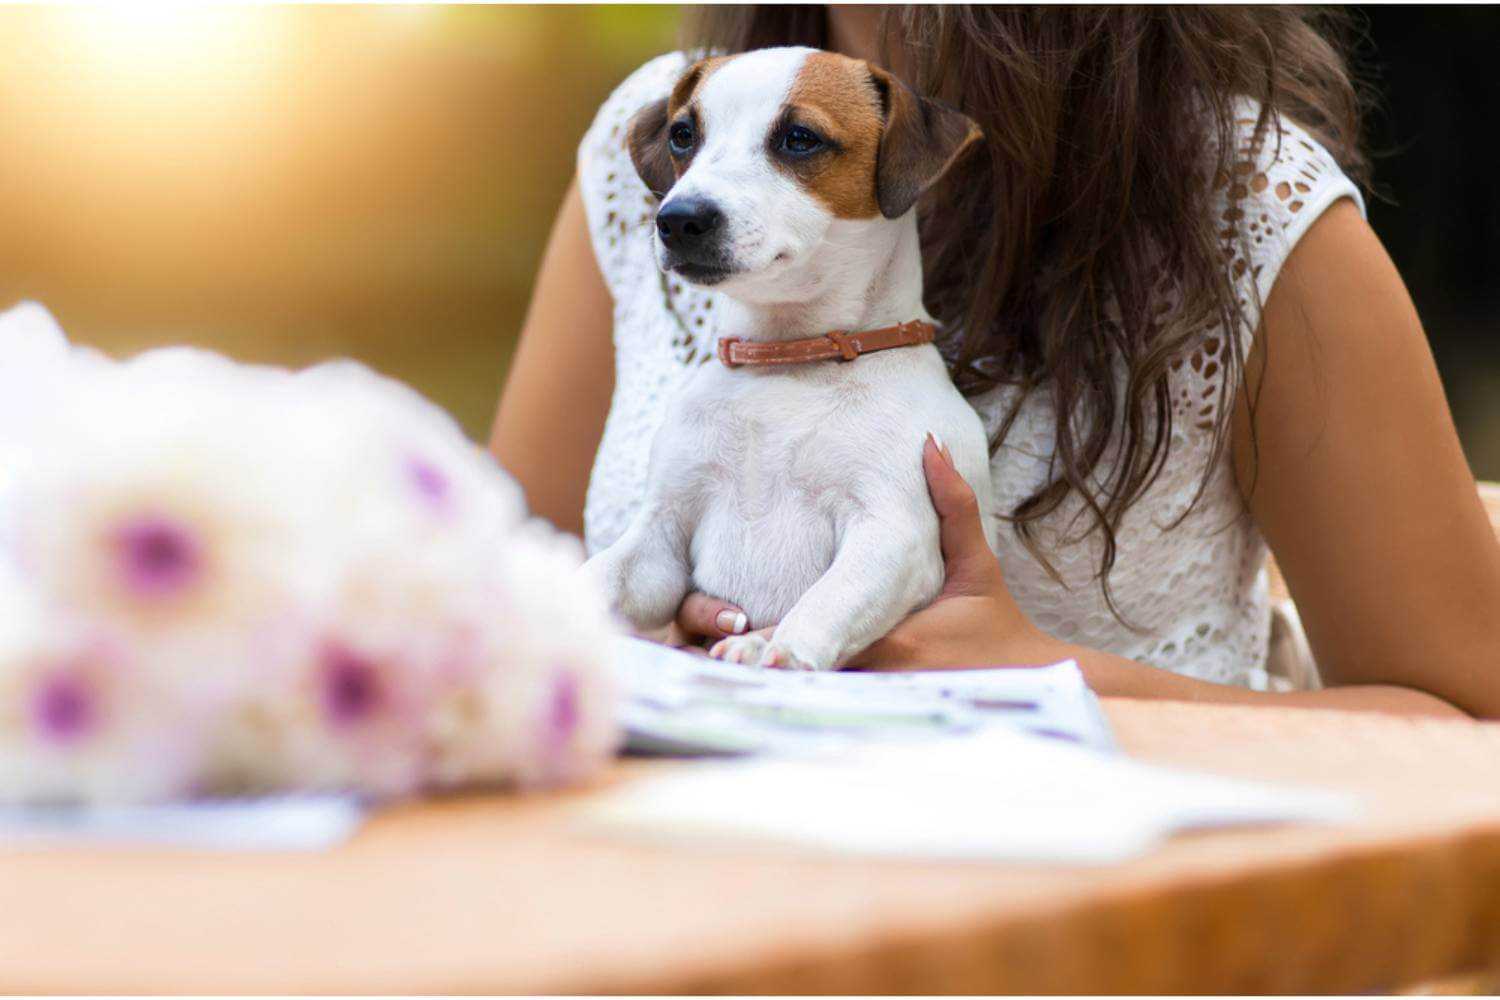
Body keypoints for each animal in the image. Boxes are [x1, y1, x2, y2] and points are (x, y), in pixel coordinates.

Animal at [582, 48, 996, 671]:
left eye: (800, 138)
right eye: (683, 135)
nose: (678, 219)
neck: (786, 358)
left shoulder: (894, 529)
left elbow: (828, 600)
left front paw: (777, 648)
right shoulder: (662, 534)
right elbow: (600, 574)